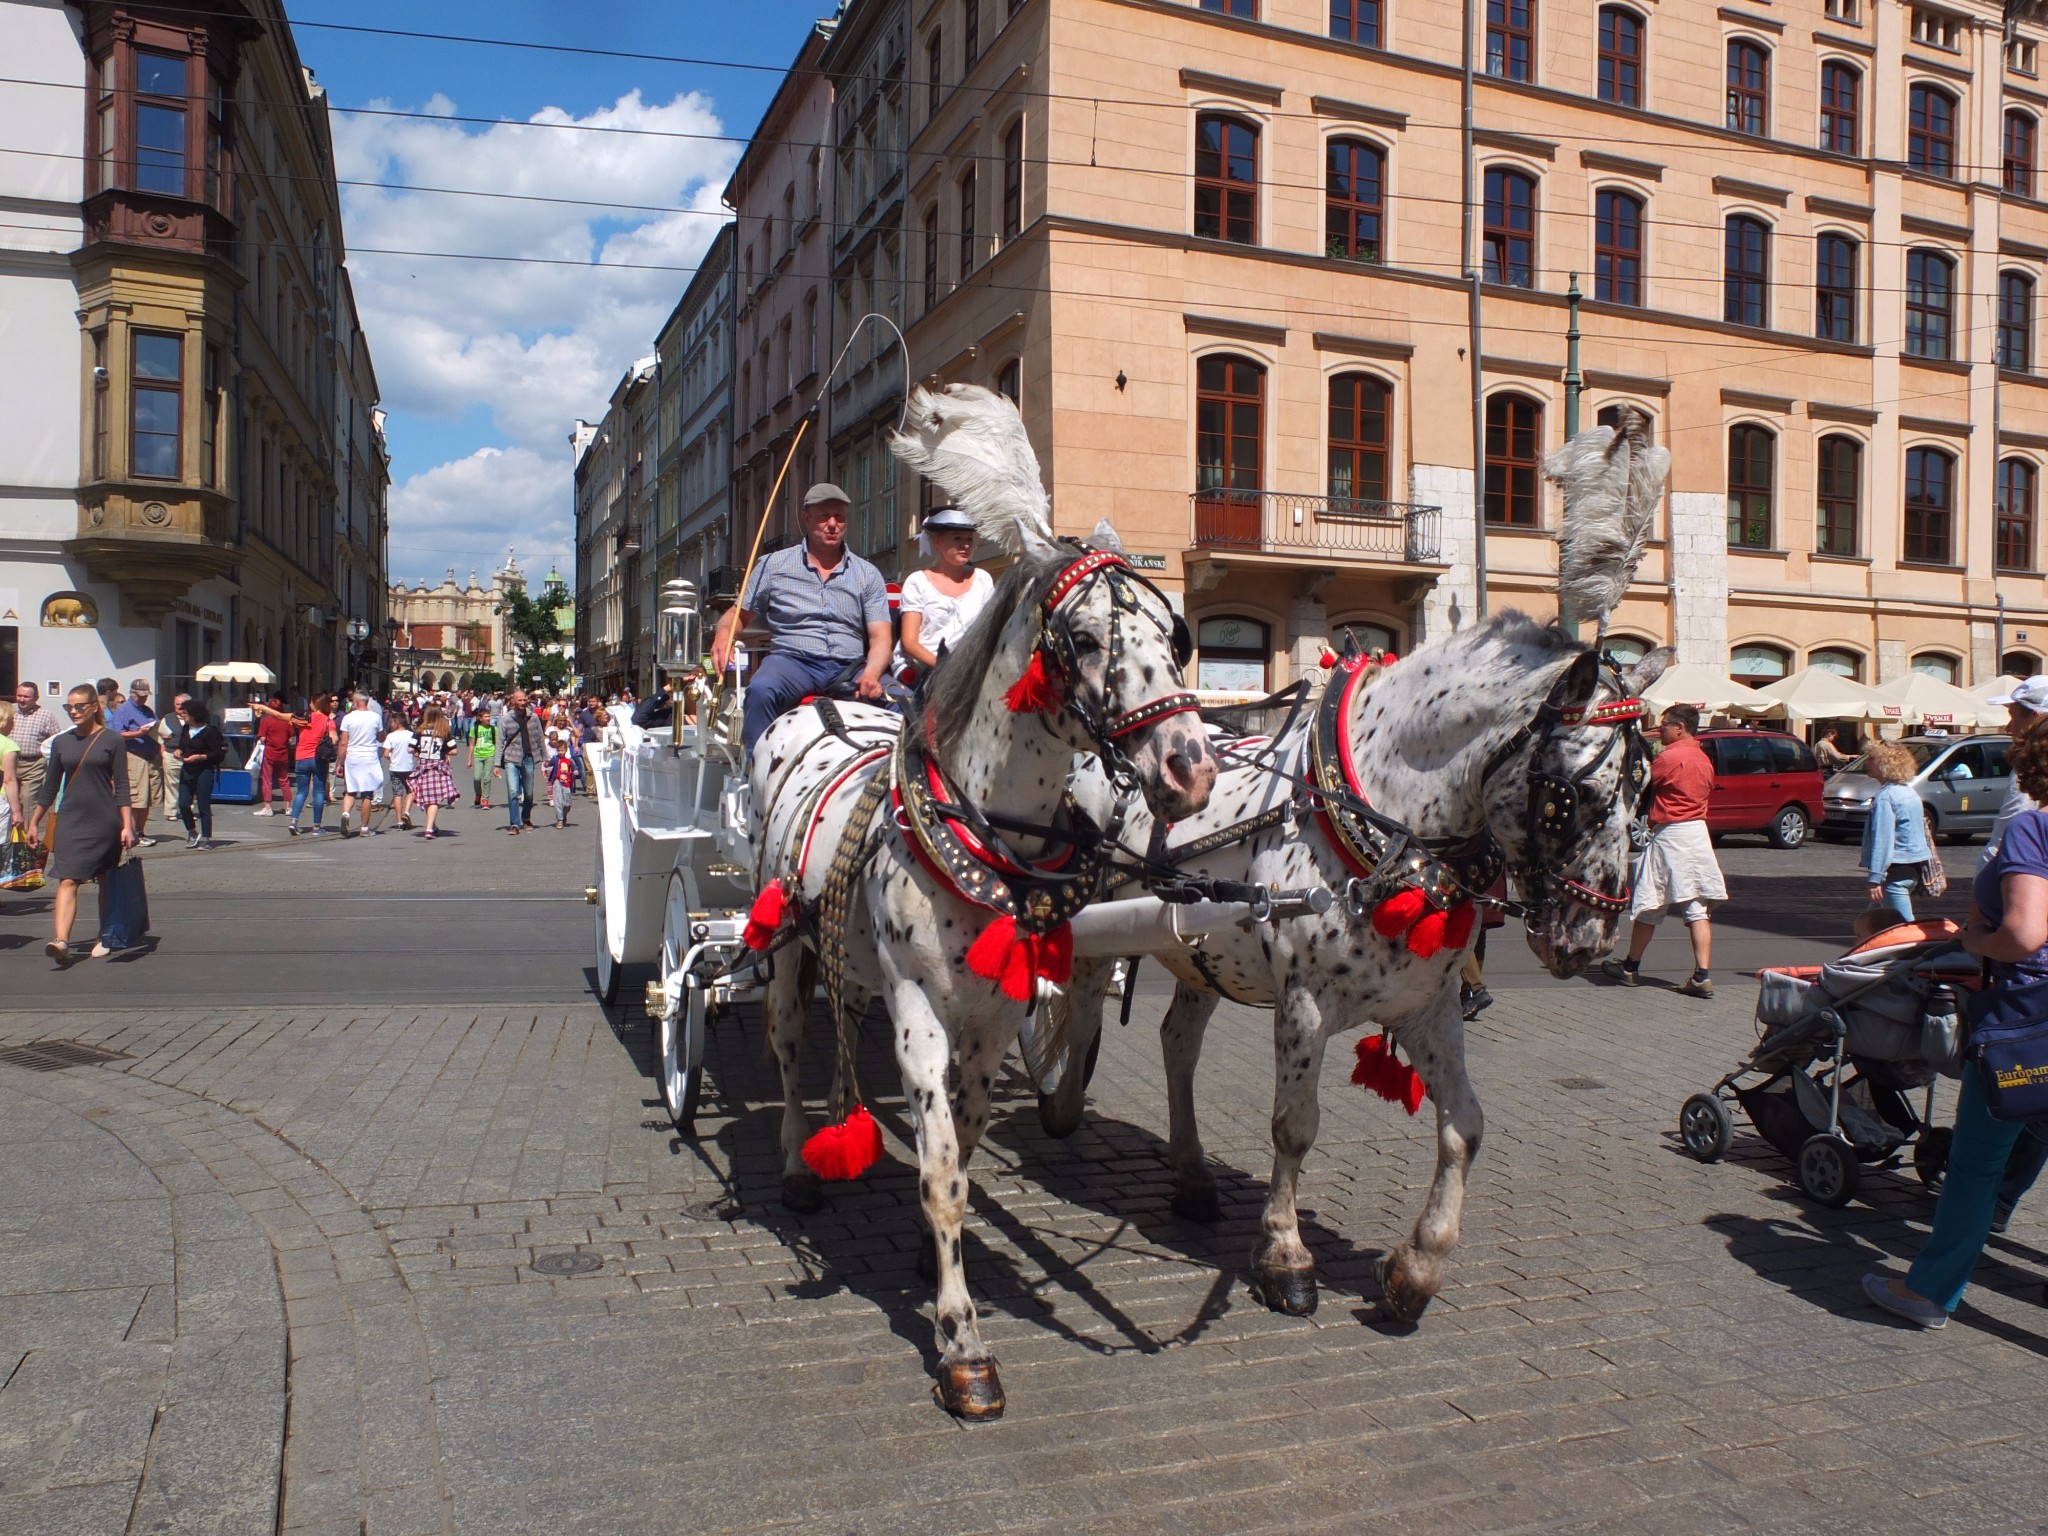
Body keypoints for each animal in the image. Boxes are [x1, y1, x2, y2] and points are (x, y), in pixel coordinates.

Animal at [745, 385, 1204, 1417]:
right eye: (1084, 640)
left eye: (1176, 638)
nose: (1190, 768)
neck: (987, 827)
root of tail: (825, 703)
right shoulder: (919, 1007)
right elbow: (945, 1171)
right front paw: (962, 1343)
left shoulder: (994, 1016)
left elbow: (965, 1138)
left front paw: (933, 1259)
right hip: (784, 943)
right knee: (788, 1047)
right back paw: (796, 1165)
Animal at [1040, 403, 1679, 1327]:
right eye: (1572, 792)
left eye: (1647, 789)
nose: (1590, 937)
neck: (1384, 827)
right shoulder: (1303, 1006)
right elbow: (1295, 1127)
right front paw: (1285, 1258)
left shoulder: (1428, 1007)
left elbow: (1466, 1124)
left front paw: (1418, 1267)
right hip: (1095, 923)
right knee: (1081, 1005)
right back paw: (1058, 1101)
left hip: (1199, 952)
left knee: (1176, 1045)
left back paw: (1192, 1176)